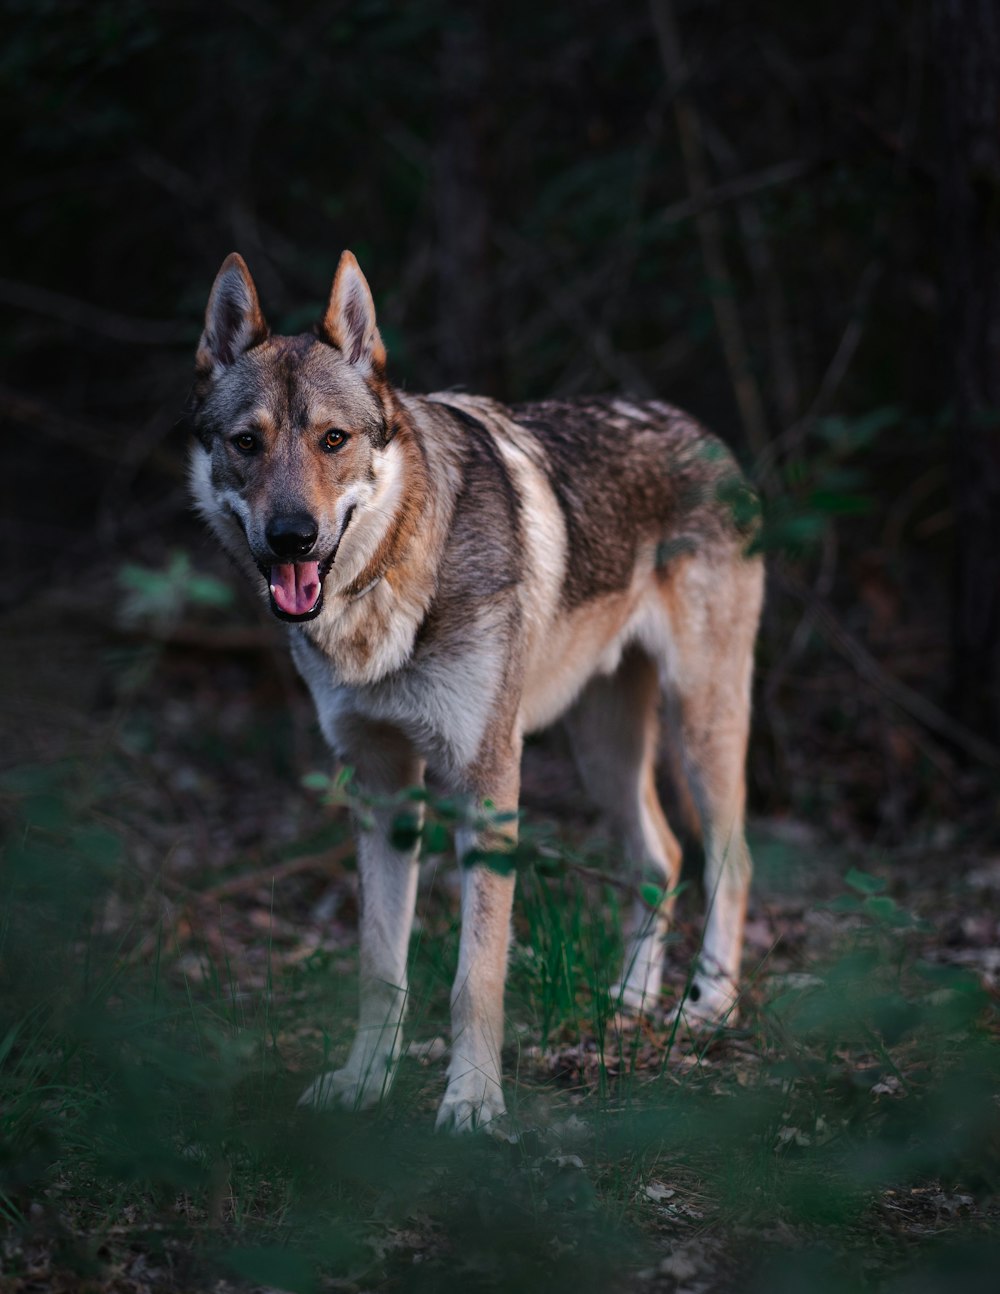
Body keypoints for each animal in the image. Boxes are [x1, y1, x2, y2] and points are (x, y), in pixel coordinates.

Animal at [187, 249, 765, 1133]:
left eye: (332, 440)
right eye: (247, 443)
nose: (292, 538)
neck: (390, 586)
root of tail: (703, 435)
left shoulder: (488, 781)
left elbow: (474, 976)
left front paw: (471, 1103)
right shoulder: (383, 787)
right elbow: (380, 966)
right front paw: (363, 1083)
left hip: (702, 728)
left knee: (730, 861)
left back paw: (709, 1008)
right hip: (604, 751)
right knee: (662, 855)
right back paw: (630, 1002)